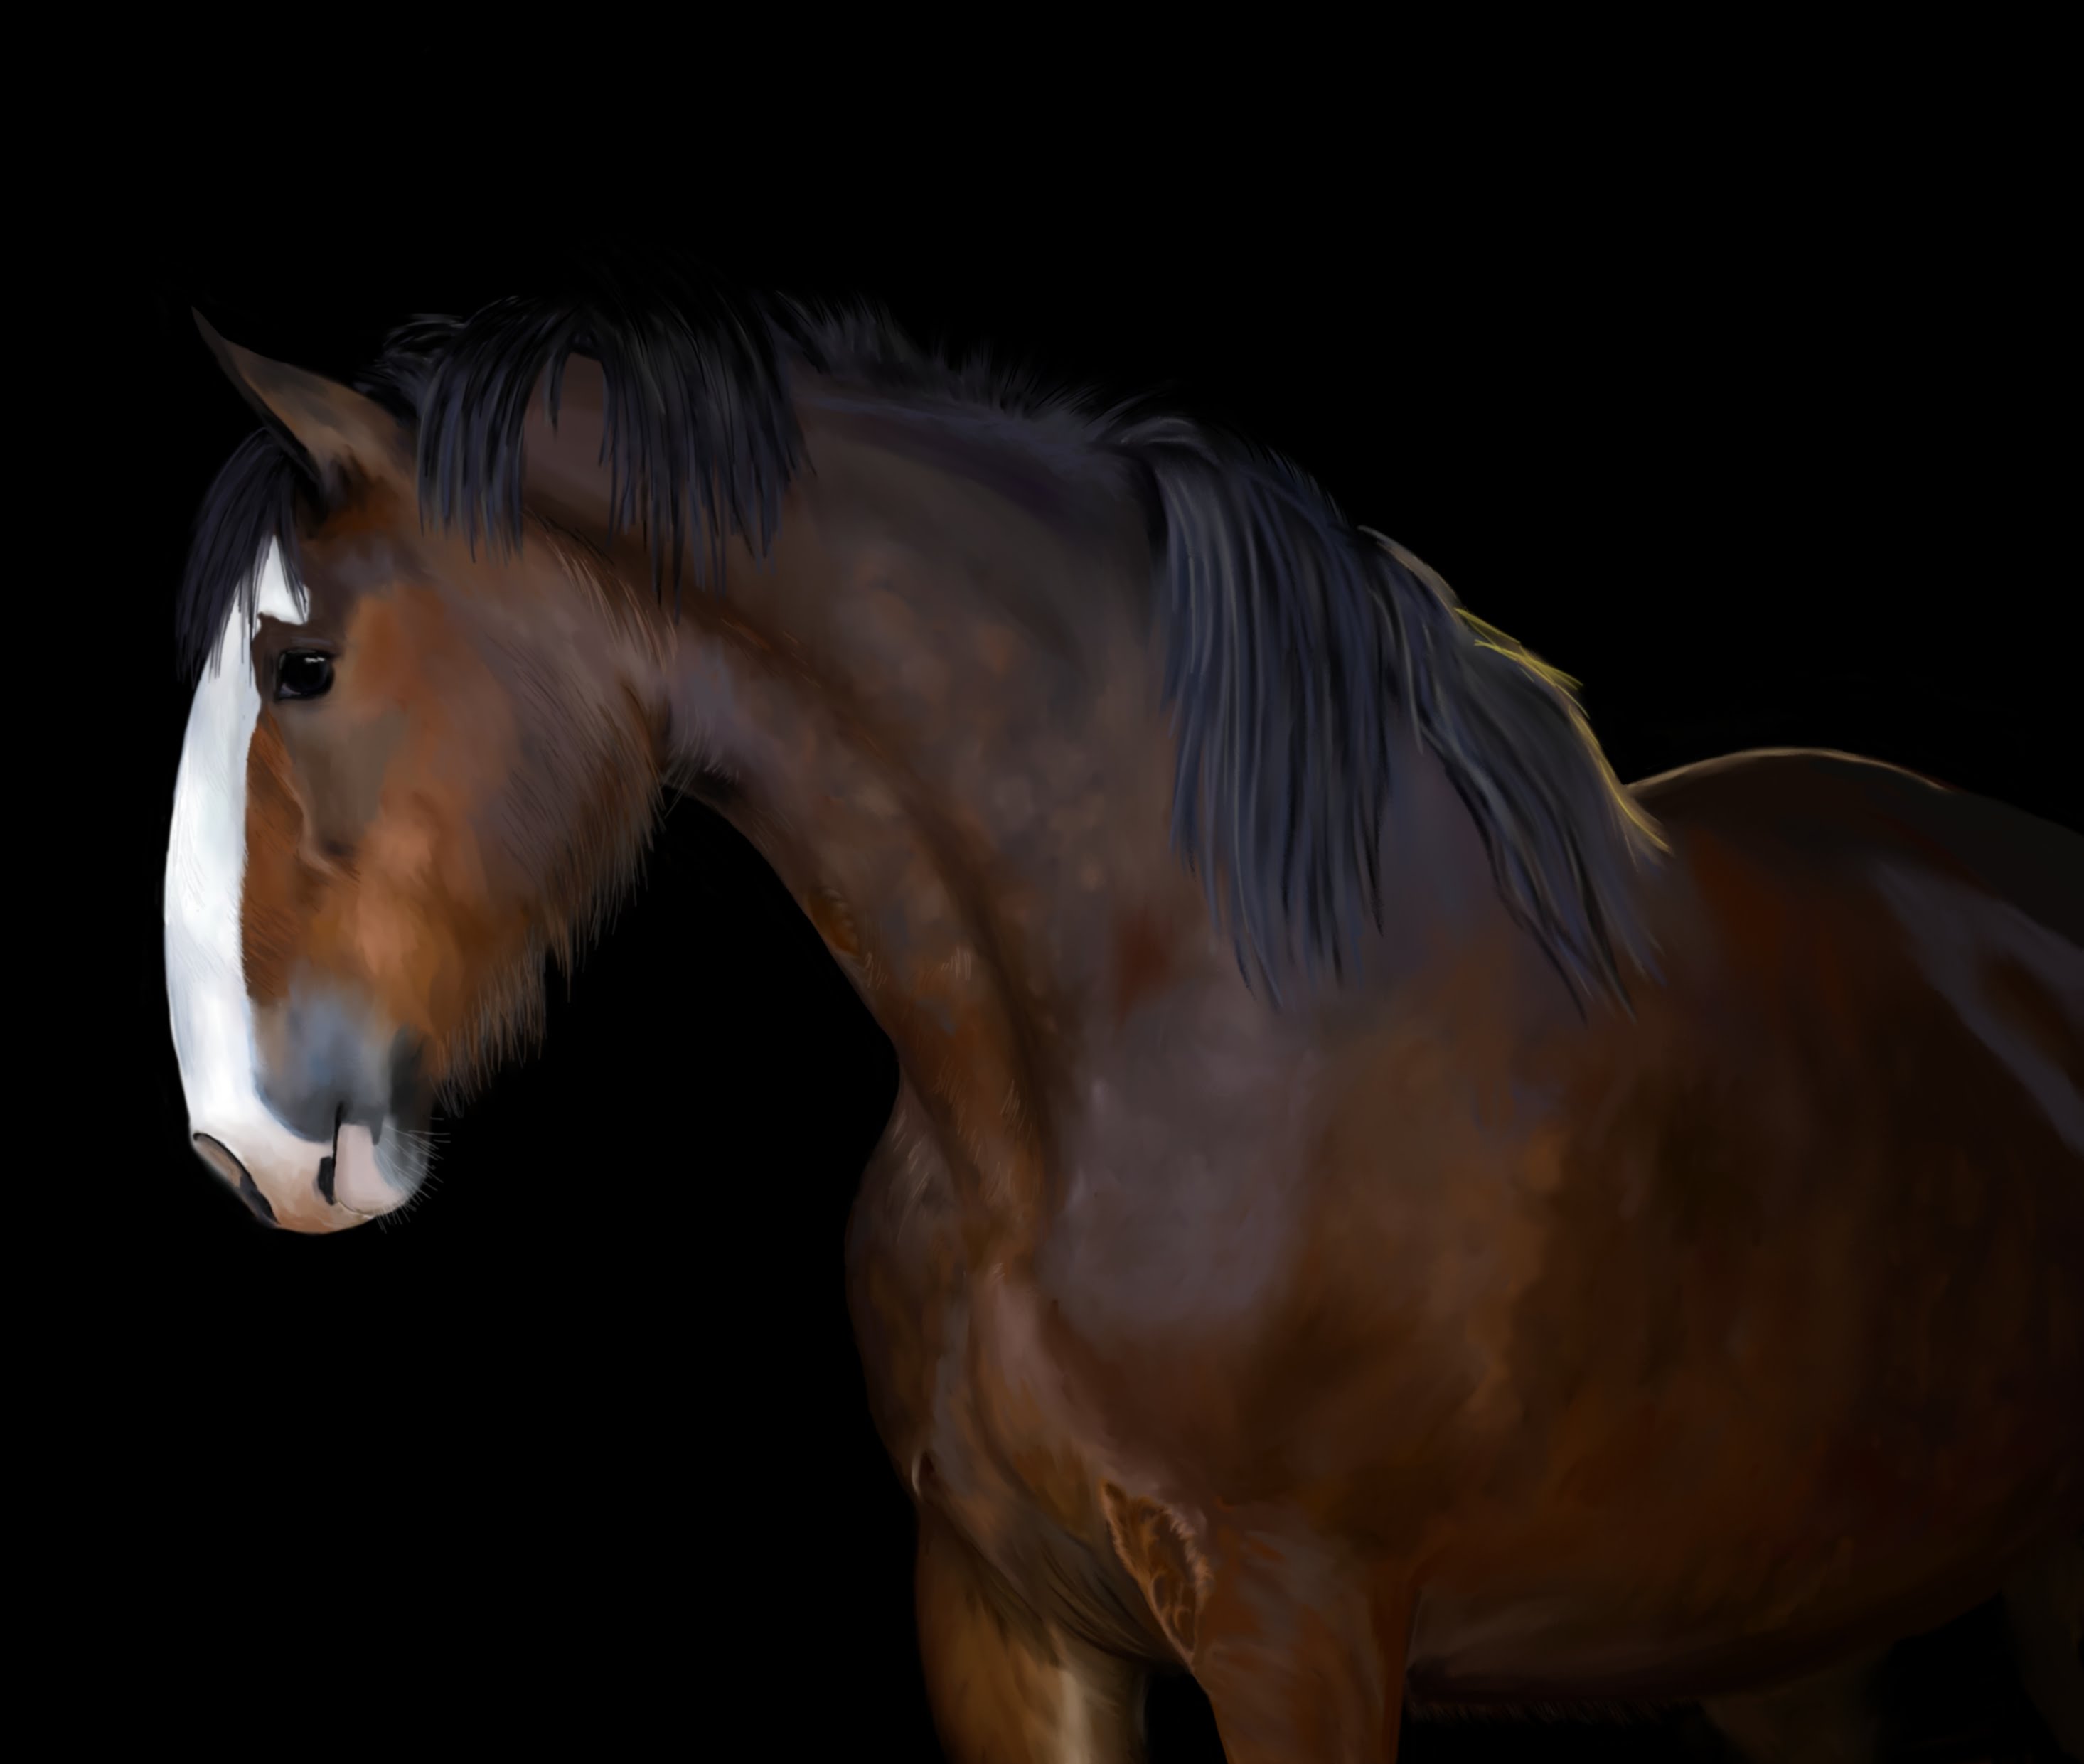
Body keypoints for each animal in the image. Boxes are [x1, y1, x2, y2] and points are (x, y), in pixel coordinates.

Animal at [163, 279, 2083, 1762]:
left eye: (303, 667)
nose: (247, 1148)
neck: (1137, 1049)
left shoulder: (1302, 1628)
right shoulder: (1002, 1618)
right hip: (1788, 1640)